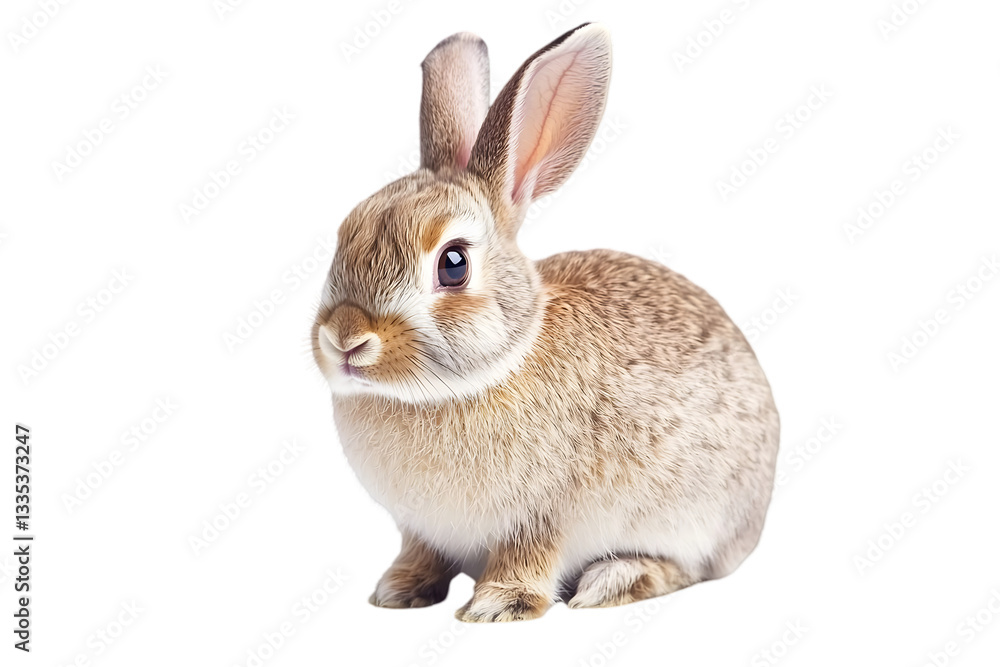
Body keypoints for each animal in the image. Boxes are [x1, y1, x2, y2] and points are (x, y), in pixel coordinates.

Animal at [311, 23, 780, 622]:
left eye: (453, 263)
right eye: (344, 236)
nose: (344, 338)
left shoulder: (544, 516)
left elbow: (528, 557)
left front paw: (495, 607)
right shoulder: (420, 529)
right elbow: (421, 553)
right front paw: (397, 591)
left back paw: (613, 581)